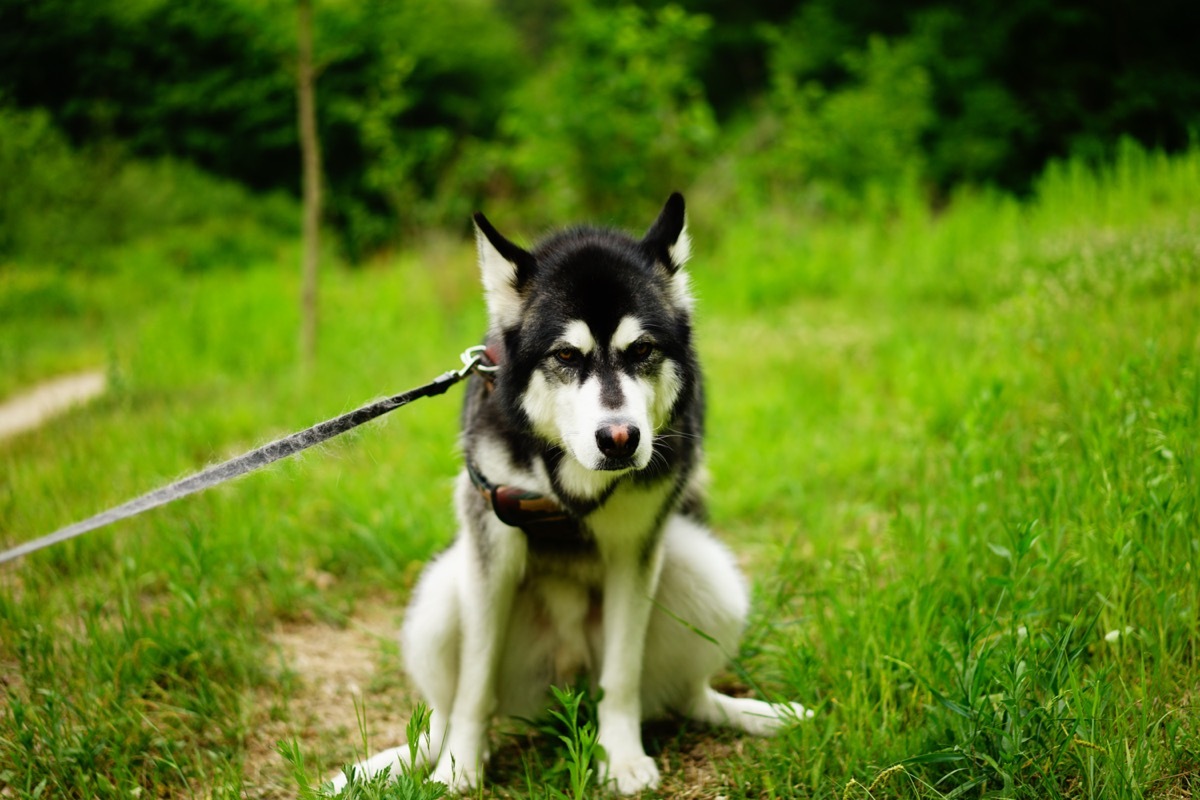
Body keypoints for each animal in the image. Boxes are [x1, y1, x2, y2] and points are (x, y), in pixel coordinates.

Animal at [331, 191, 806, 796]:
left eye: (642, 349)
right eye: (565, 356)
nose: (620, 438)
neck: (571, 477)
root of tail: (564, 685)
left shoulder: (634, 548)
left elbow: (622, 675)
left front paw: (622, 757)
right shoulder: (492, 546)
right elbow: (473, 685)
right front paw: (461, 768)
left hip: (706, 573)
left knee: (683, 696)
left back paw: (752, 714)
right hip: (440, 596)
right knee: (442, 713)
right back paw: (420, 758)